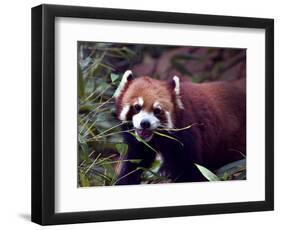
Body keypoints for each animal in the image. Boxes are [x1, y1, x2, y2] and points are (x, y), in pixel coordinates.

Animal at [114, 70, 245, 185]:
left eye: (157, 111)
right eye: (137, 107)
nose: (145, 123)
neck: (157, 138)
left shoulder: (186, 134)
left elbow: (191, 168)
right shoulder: (138, 142)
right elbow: (134, 161)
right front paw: (124, 180)